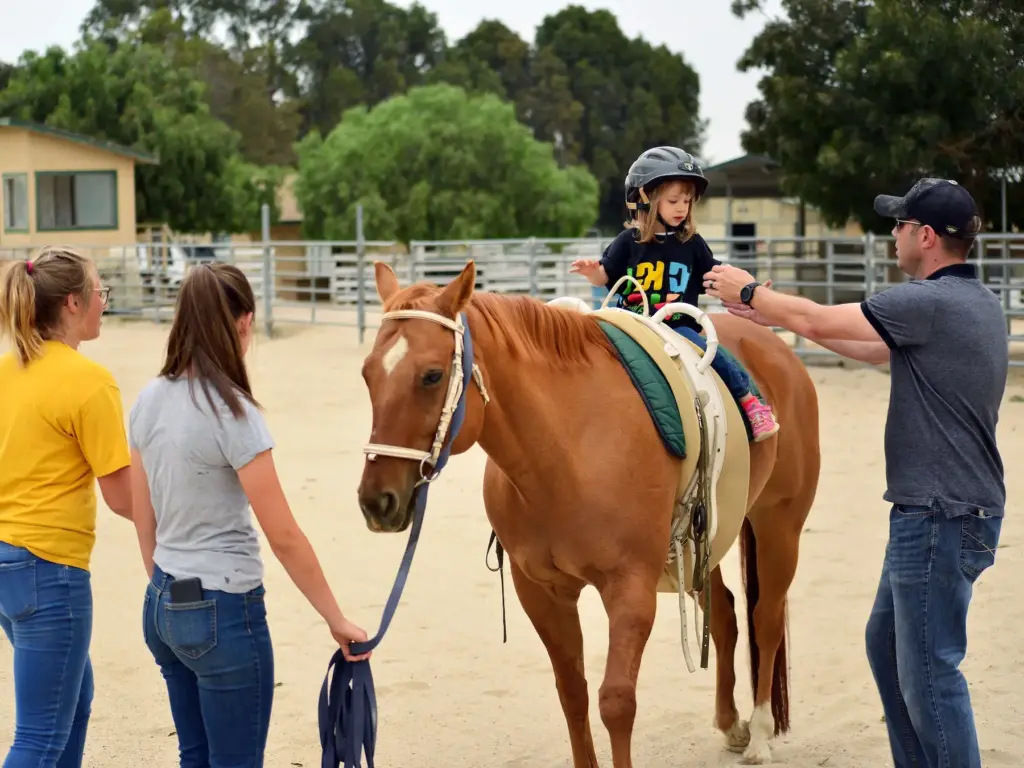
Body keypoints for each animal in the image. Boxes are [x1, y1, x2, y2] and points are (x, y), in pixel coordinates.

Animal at [356, 259, 821, 767]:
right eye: (367, 375)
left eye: (432, 376)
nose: (376, 500)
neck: (568, 448)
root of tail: (776, 348)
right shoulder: (541, 590)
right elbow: (572, 692)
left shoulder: (630, 588)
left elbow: (616, 701)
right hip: (703, 543)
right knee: (727, 618)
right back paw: (732, 724)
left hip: (779, 525)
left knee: (765, 620)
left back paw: (759, 734)